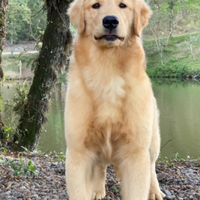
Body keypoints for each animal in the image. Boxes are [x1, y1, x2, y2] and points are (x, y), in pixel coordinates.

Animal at [65, 0, 166, 199]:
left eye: (123, 5)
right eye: (95, 5)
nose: (110, 21)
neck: (107, 72)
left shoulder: (135, 152)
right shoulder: (78, 151)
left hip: (152, 142)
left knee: (151, 167)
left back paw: (155, 191)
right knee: (101, 167)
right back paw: (98, 190)